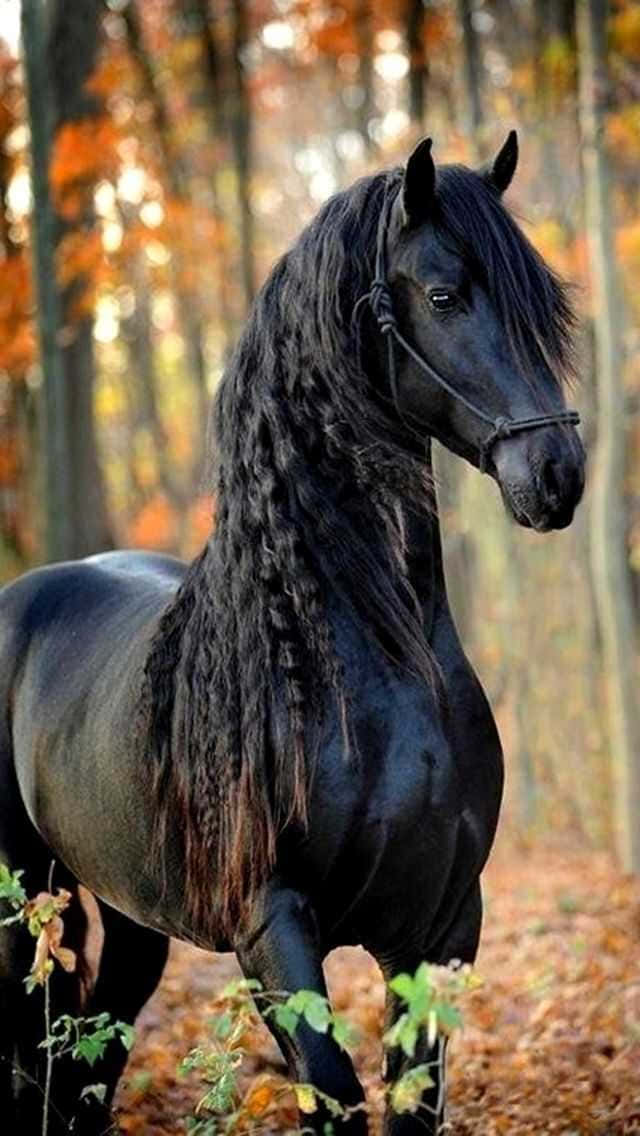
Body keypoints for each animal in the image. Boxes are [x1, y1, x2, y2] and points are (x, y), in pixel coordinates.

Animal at [0, 132, 584, 1135]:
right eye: (443, 295)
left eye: (542, 303)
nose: (557, 473)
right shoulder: (273, 927)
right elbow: (334, 1093)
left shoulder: (441, 929)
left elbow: (411, 1100)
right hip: (20, 895)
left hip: (135, 919)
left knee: (85, 1069)